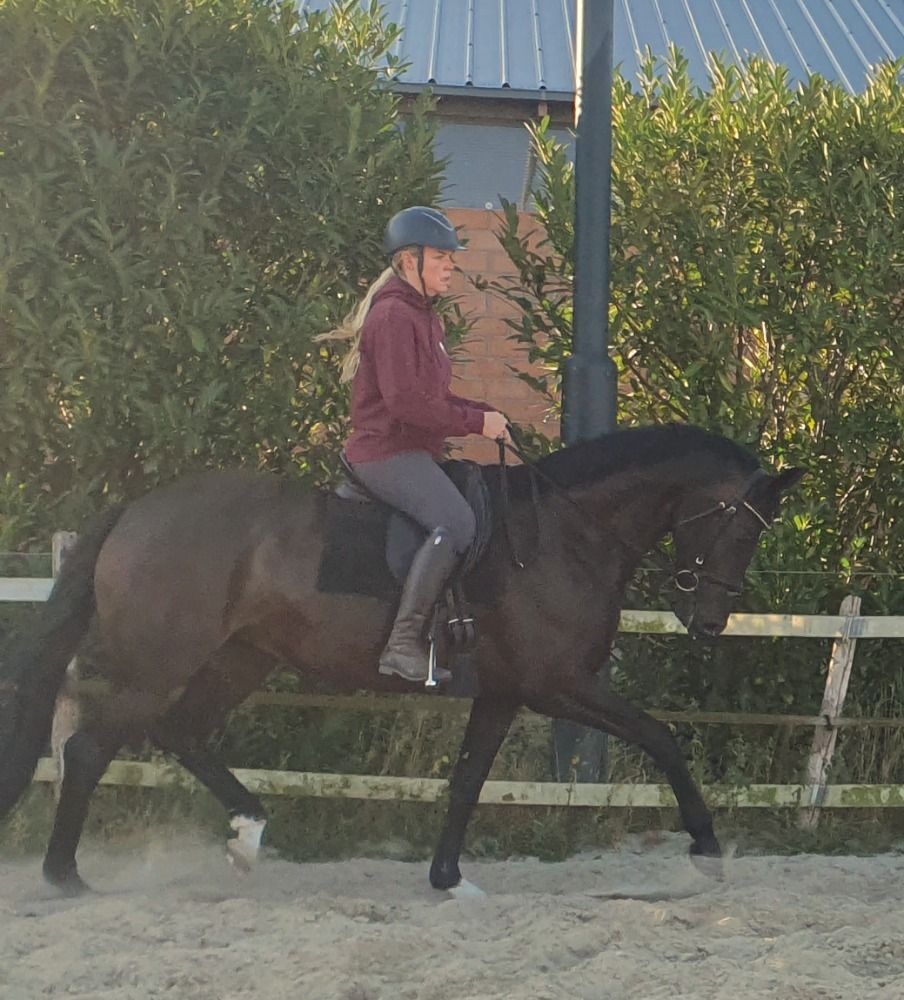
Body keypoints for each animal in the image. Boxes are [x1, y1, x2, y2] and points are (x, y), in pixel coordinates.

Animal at [0, 424, 803, 896]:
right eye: (740, 529)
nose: (709, 622)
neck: (563, 532)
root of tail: (136, 511)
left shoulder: (506, 691)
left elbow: (467, 781)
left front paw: (447, 878)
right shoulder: (559, 686)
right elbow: (662, 737)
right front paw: (707, 845)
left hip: (240, 658)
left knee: (181, 733)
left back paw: (248, 834)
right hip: (157, 665)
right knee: (89, 748)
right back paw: (65, 875)